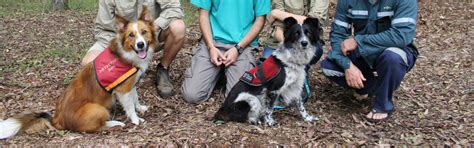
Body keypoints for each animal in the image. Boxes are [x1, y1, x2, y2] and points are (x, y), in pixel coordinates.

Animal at [0, 6, 156, 139]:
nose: (140, 45)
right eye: (131, 35)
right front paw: (136, 120)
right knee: (95, 128)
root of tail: (57, 120)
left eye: (144, 32)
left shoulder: (131, 84)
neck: (125, 53)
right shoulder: (123, 89)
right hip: (97, 109)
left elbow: (135, 98)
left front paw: (140, 108)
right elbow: (130, 106)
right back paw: (115, 123)